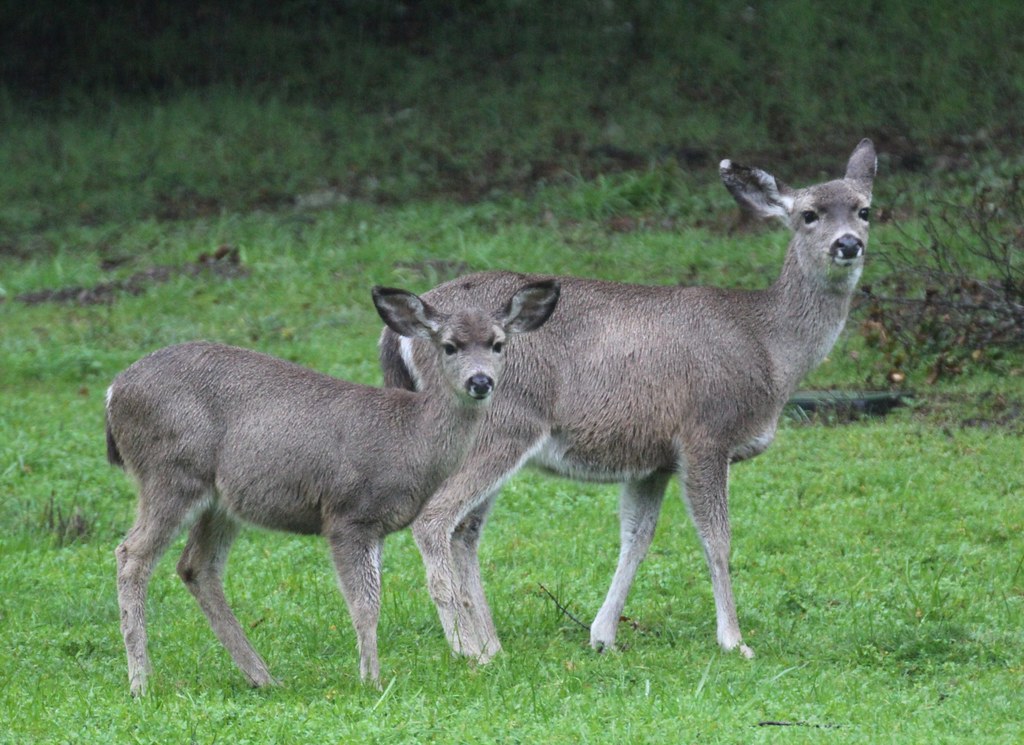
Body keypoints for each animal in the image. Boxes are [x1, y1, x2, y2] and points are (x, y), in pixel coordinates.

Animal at [106, 280, 561, 696]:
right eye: (449, 346)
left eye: (498, 344)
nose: (480, 381)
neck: (409, 436)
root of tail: (113, 393)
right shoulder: (347, 513)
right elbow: (365, 604)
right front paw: (371, 679)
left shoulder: (376, 525)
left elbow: (372, 599)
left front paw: (370, 673)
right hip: (170, 472)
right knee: (131, 553)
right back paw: (141, 683)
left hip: (220, 501)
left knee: (196, 566)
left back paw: (263, 677)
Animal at [379, 139, 877, 663]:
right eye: (808, 214)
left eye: (865, 209)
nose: (848, 244)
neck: (768, 347)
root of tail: (403, 333)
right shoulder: (705, 432)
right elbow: (716, 539)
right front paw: (734, 640)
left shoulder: (652, 458)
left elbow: (637, 536)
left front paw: (603, 634)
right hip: (503, 424)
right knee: (435, 519)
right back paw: (467, 649)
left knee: (465, 529)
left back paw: (491, 644)